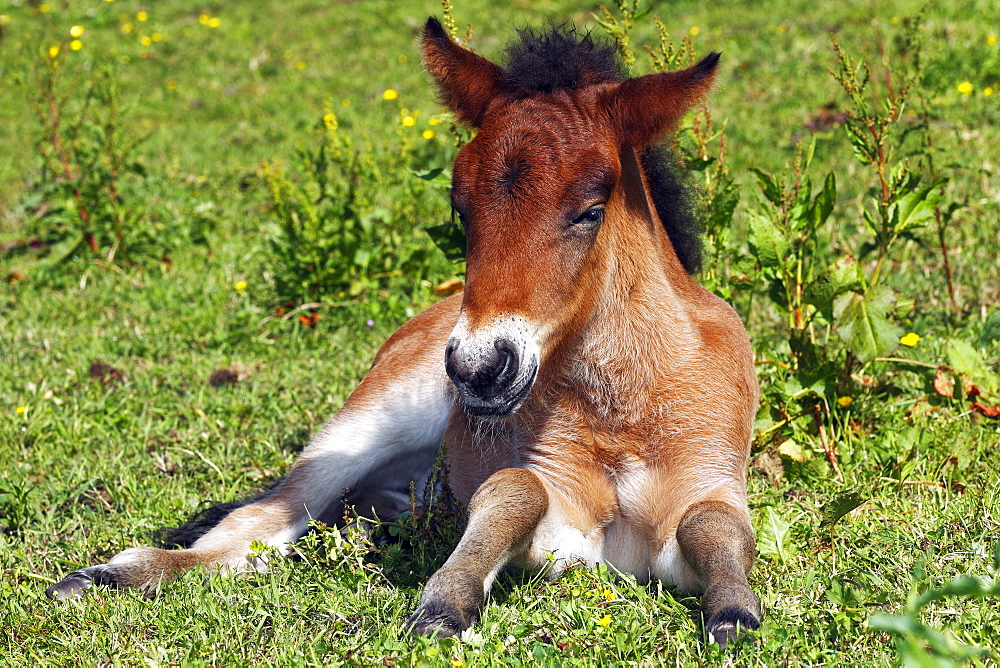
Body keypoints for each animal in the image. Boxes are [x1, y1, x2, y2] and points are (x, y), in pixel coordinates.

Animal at [47, 19, 760, 648]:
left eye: (590, 210)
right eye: (459, 207)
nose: (480, 368)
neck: (621, 408)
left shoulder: (708, 488)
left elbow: (716, 525)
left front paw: (734, 613)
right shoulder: (561, 530)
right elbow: (513, 488)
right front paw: (445, 604)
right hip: (366, 423)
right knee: (266, 521)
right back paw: (109, 575)